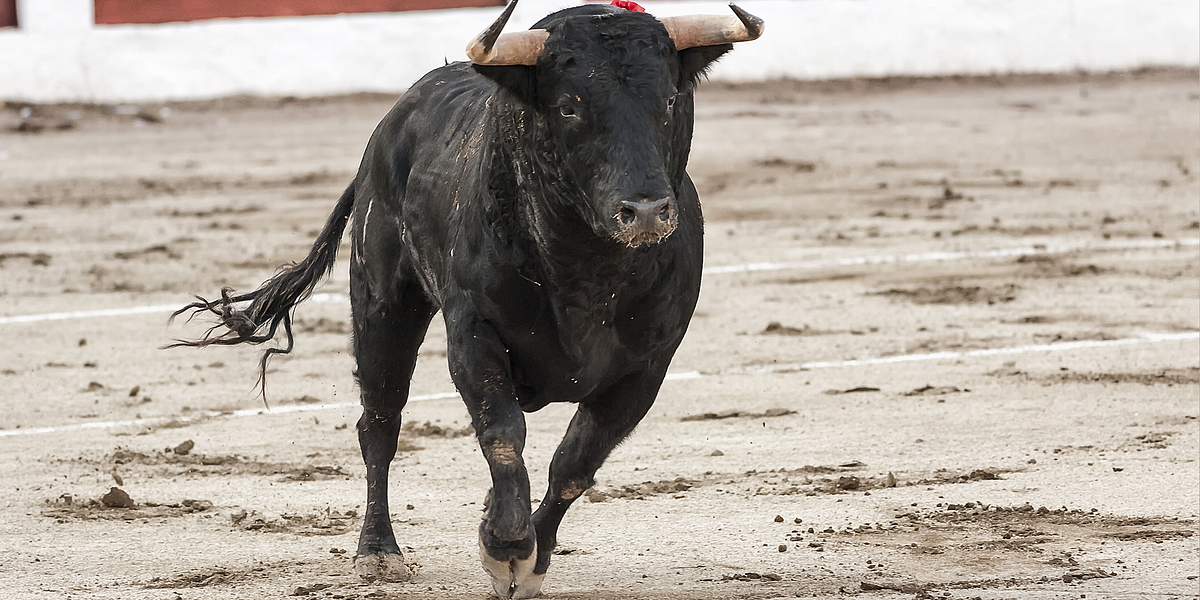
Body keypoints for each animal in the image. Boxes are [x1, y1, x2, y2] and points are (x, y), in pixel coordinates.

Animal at [171, 1, 763, 597]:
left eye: (669, 100)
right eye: (569, 107)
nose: (644, 212)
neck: (587, 270)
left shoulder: (647, 366)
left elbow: (576, 462)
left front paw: (531, 558)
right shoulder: (474, 333)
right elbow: (502, 434)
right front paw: (505, 549)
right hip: (383, 307)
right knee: (380, 423)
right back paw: (378, 551)